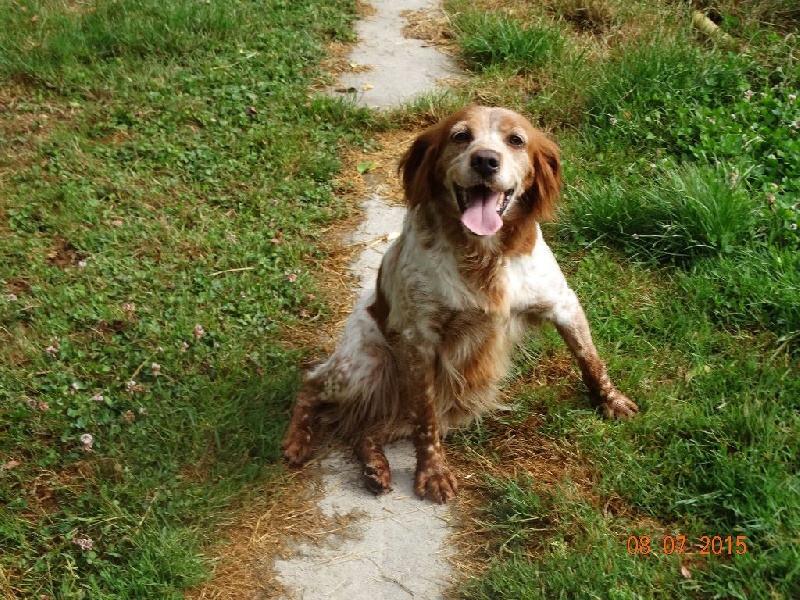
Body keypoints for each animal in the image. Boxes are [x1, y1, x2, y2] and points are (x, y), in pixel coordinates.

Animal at [283, 106, 638, 503]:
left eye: (516, 140)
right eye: (460, 136)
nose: (485, 160)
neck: (484, 255)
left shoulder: (563, 303)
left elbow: (590, 358)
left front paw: (612, 401)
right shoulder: (419, 341)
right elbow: (426, 424)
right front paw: (433, 474)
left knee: (368, 431)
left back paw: (375, 467)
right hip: (366, 364)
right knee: (311, 384)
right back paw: (298, 441)